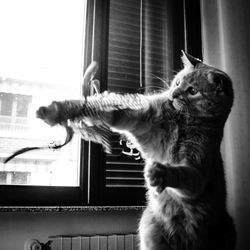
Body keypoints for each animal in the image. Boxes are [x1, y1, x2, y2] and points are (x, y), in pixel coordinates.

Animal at [36, 51, 236, 250]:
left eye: (193, 91)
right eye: (178, 82)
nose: (173, 94)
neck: (181, 120)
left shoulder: (198, 171)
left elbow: (183, 174)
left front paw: (160, 173)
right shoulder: (139, 119)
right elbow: (105, 111)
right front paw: (57, 110)